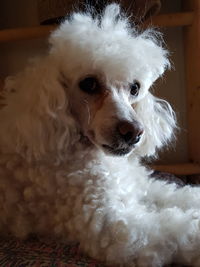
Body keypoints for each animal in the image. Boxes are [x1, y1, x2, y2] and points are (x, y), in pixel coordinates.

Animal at [0, 4, 200, 267]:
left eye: (134, 88)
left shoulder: (140, 187)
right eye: (89, 84)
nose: (134, 133)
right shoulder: (115, 226)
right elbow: (178, 230)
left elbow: (175, 194)